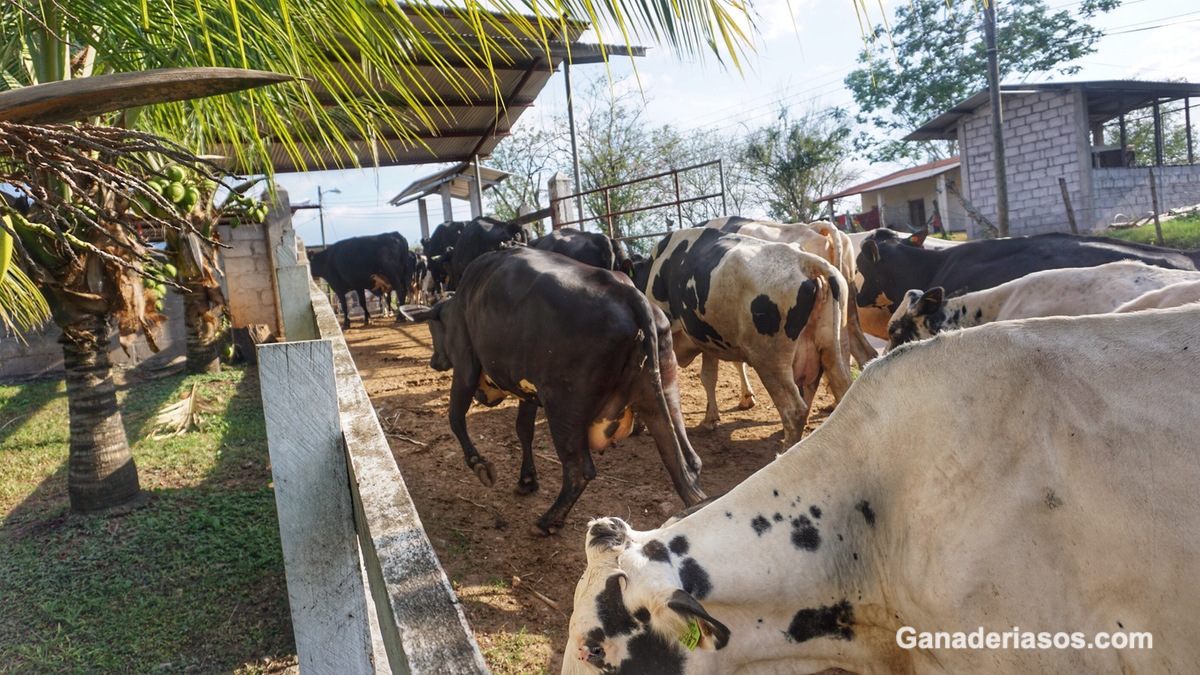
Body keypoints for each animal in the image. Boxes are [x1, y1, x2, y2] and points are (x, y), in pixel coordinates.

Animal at [403, 243, 700, 533]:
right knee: (684, 461)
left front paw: (480, 465)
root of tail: (628, 292)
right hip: (661, 395)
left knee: (579, 470)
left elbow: (455, 418)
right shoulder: (528, 390)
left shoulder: (465, 366)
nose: (434, 361)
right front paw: (527, 480)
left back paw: (548, 521)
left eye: (432, 327)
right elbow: (523, 429)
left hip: (564, 408)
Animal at [628, 228, 854, 444]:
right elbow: (708, 377)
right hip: (833, 351)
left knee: (794, 412)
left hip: (770, 362)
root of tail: (805, 260)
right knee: (844, 390)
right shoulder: (707, 339)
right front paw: (709, 419)